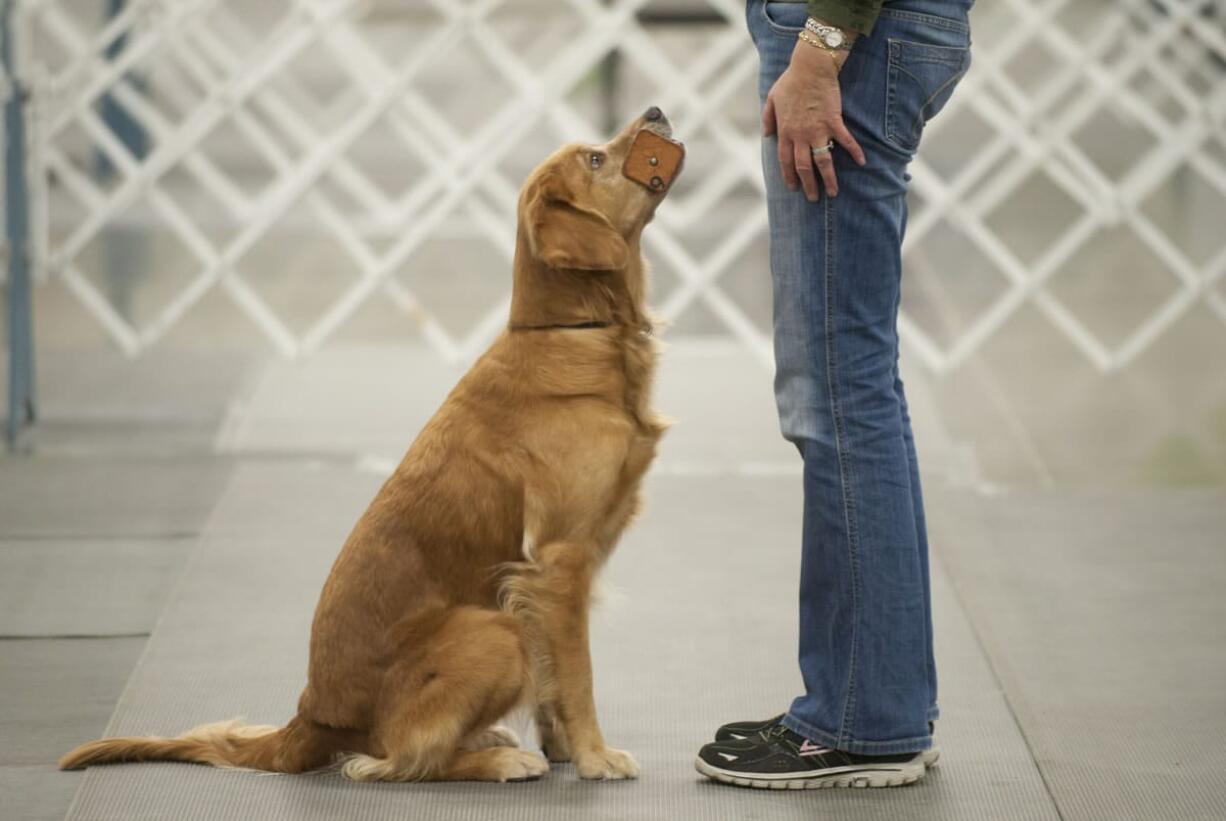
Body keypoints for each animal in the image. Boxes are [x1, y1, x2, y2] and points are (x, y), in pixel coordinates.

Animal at [62, 107, 686, 784]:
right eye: (596, 159)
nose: (656, 112)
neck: (576, 332)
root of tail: (311, 717)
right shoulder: (561, 559)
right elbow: (575, 677)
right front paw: (596, 756)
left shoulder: (548, 579)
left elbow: (552, 682)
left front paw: (568, 749)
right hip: (491, 628)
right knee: (400, 758)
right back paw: (497, 758)